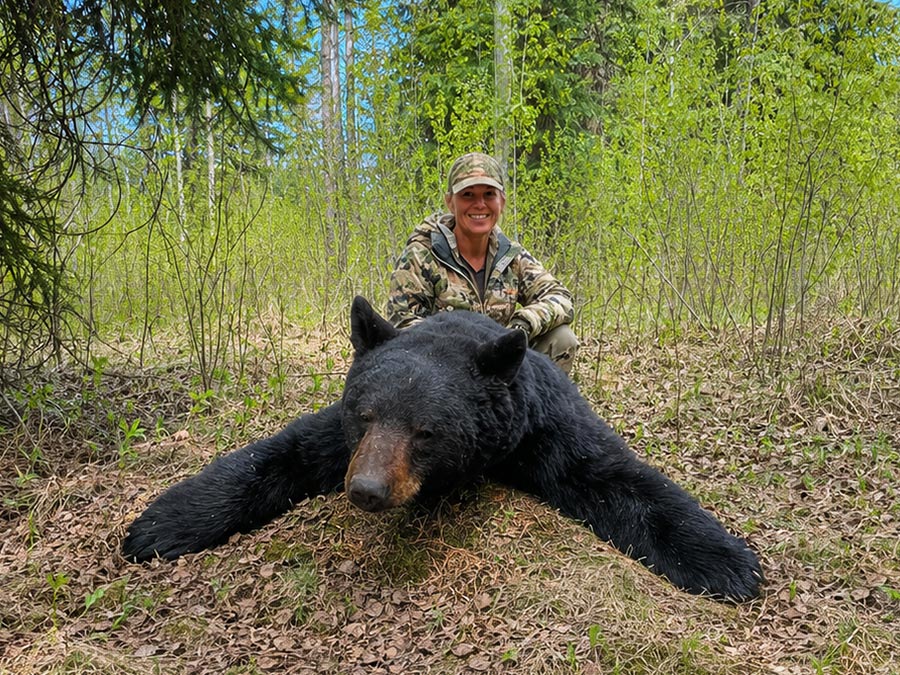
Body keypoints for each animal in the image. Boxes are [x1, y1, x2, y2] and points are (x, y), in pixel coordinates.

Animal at [123, 296, 764, 602]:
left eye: (426, 431)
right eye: (365, 414)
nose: (366, 490)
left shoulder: (541, 429)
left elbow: (612, 476)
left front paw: (729, 562)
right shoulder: (341, 439)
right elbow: (284, 452)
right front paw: (158, 524)